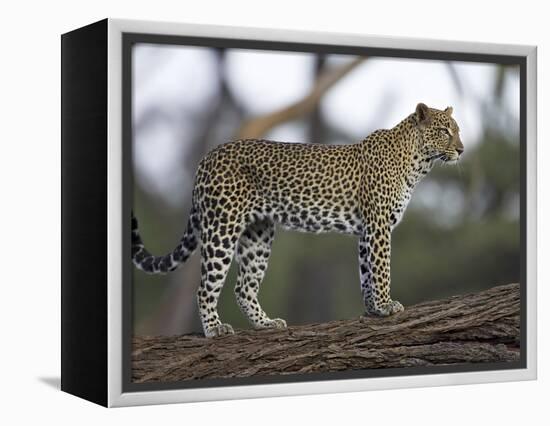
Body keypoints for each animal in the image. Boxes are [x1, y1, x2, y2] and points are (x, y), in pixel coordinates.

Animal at [132, 102, 464, 336]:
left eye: (457, 130)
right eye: (444, 131)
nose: (462, 150)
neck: (418, 162)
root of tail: (207, 157)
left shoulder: (366, 230)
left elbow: (366, 272)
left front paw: (372, 309)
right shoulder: (379, 225)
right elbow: (381, 268)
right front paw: (386, 306)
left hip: (258, 234)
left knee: (243, 287)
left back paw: (265, 324)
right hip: (222, 227)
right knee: (205, 287)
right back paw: (215, 329)